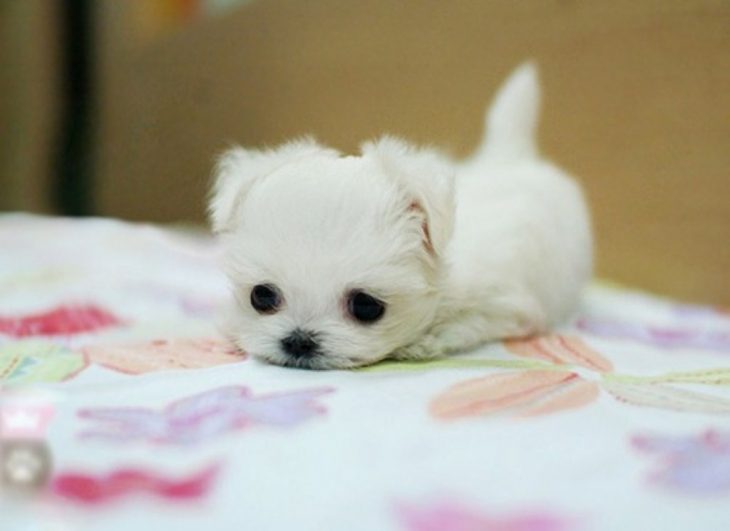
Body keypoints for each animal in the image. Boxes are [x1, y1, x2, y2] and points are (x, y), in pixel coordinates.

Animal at [209, 63, 592, 370]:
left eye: (366, 306)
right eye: (261, 296)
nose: (298, 340)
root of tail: (511, 154)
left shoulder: (507, 306)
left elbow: (467, 324)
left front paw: (424, 342)